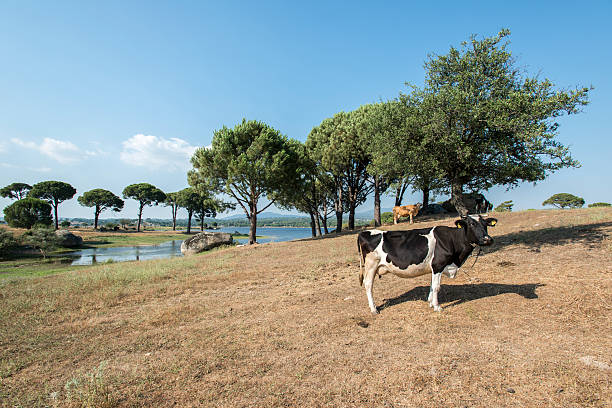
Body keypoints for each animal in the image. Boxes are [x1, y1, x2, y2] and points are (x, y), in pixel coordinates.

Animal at [358, 215, 498, 314]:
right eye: (472, 224)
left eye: (486, 224)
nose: (487, 239)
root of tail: (365, 232)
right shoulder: (438, 265)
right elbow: (436, 287)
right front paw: (437, 306)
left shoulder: (434, 268)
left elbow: (432, 286)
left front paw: (430, 303)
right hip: (371, 265)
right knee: (368, 284)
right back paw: (374, 309)